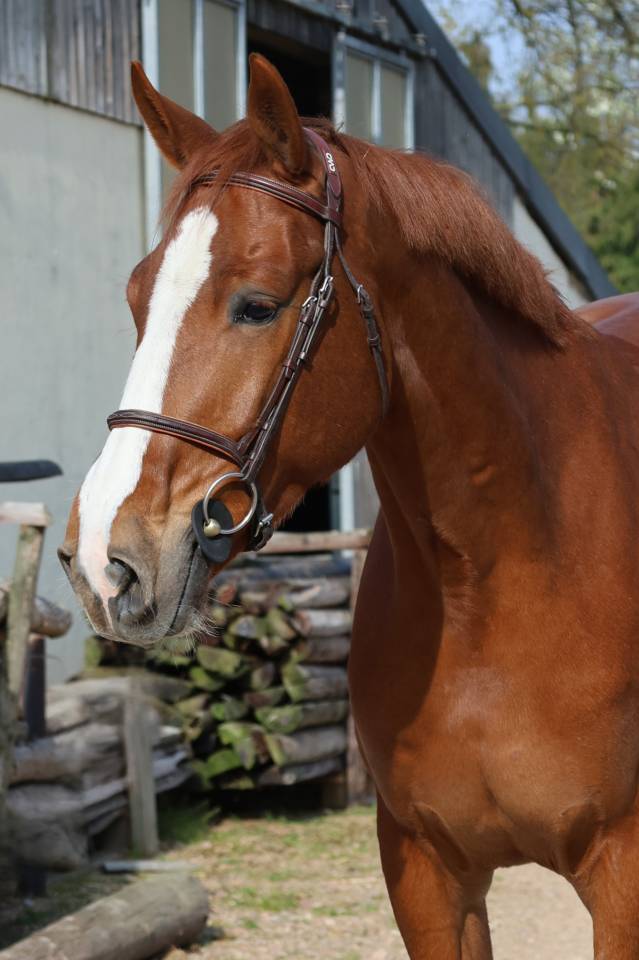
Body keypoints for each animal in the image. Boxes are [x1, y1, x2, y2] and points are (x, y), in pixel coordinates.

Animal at [60, 54, 639, 959]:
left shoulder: (622, 877)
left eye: (258, 303)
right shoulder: (426, 872)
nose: (102, 561)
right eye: (135, 297)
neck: (498, 578)